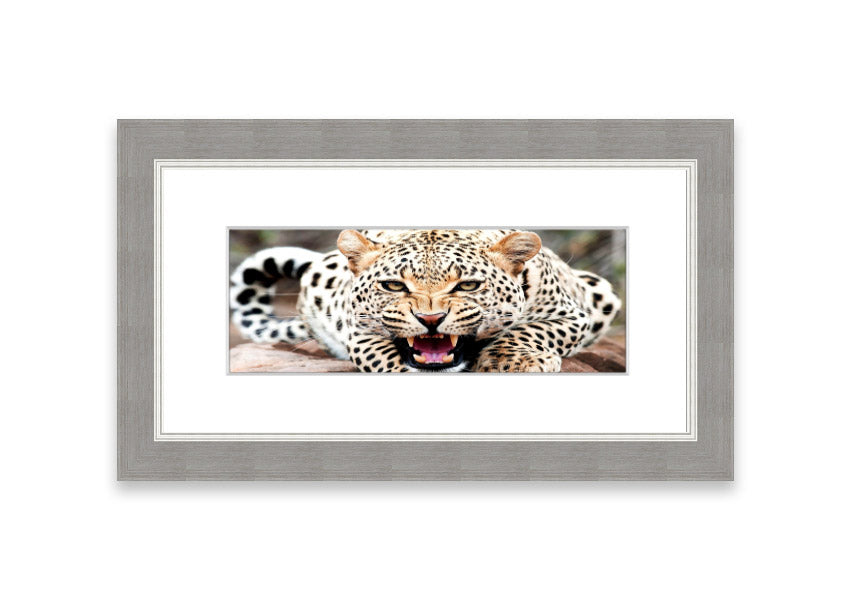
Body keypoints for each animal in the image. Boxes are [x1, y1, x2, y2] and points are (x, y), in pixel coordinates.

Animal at [230, 229, 621, 373]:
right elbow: (384, 358)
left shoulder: (574, 314)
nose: (430, 320)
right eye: (393, 285)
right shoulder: (358, 332)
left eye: (467, 285)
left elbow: (530, 331)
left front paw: (514, 361)